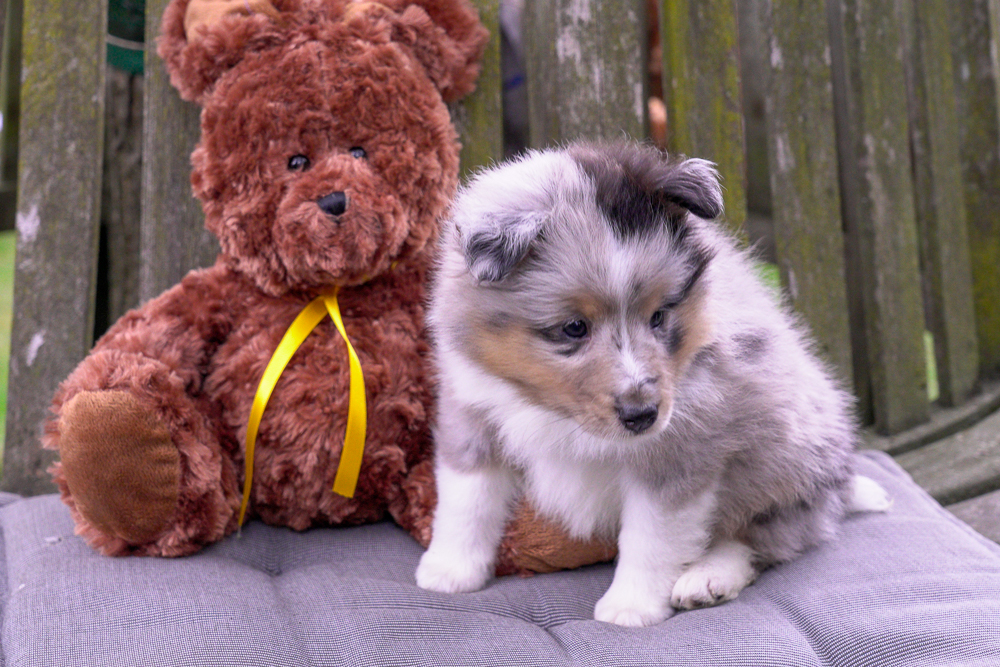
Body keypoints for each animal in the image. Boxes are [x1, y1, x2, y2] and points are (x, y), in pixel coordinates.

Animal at [415, 142, 891, 627]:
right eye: (573, 328)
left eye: (659, 316)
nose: (642, 416)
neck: (557, 411)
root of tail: (840, 485)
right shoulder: (472, 409)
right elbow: (468, 498)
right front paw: (449, 570)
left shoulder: (680, 454)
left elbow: (651, 537)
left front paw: (631, 607)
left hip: (785, 463)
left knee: (762, 538)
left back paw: (707, 580)